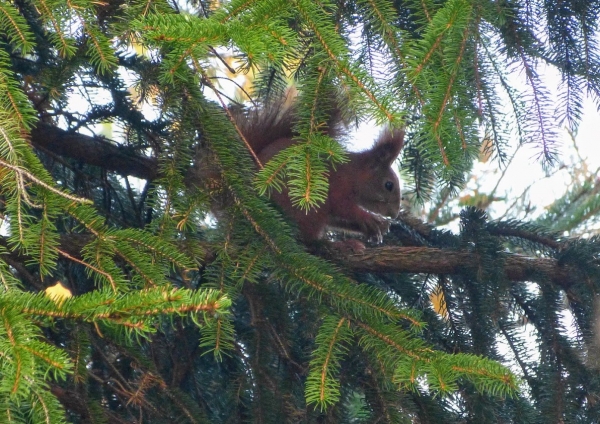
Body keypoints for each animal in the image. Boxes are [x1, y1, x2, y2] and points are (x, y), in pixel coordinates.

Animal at [237, 104, 406, 243]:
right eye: (389, 185)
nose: (394, 214)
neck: (354, 173)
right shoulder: (339, 185)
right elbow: (343, 207)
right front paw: (370, 218)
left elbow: (340, 220)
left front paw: (378, 226)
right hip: (305, 206)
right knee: (309, 240)